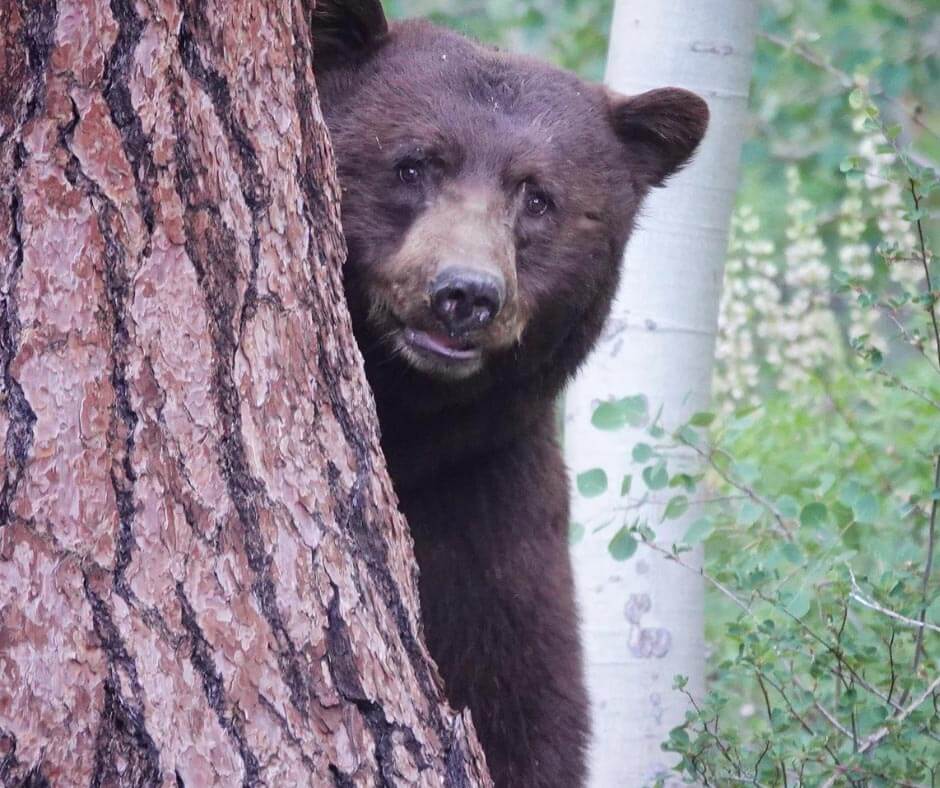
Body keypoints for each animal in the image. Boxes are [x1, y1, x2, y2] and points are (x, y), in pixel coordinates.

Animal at [312, 3, 708, 784]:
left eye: (538, 197)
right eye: (412, 163)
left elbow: (526, 707)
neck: (408, 425)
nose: (464, 294)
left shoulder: (491, 511)